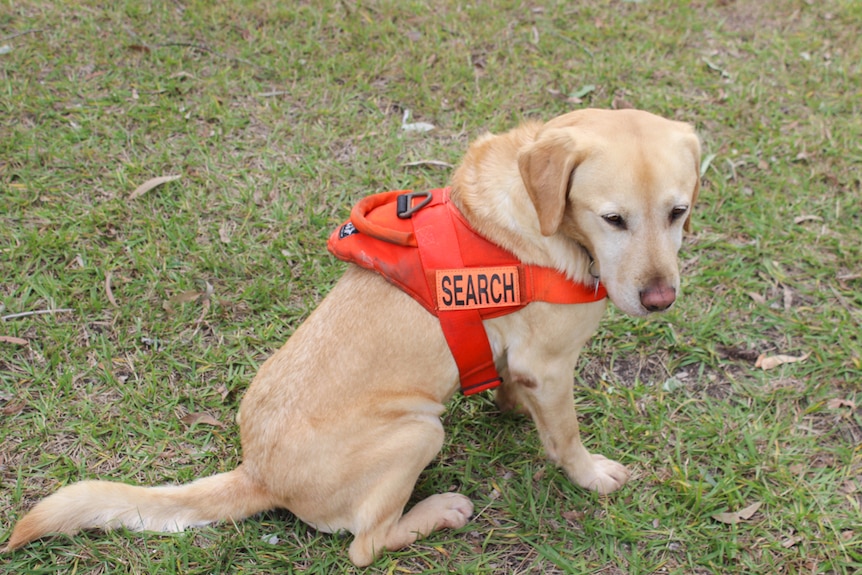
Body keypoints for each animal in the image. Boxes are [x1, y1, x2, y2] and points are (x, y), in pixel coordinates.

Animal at [3, 108, 704, 568]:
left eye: (679, 211)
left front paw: (507, 406)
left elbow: (511, 386)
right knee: (365, 545)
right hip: (421, 432)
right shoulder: (554, 367)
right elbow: (566, 440)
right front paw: (592, 476)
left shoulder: (525, 361)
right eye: (612, 218)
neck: (539, 214)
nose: (660, 298)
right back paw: (436, 513)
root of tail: (258, 473)